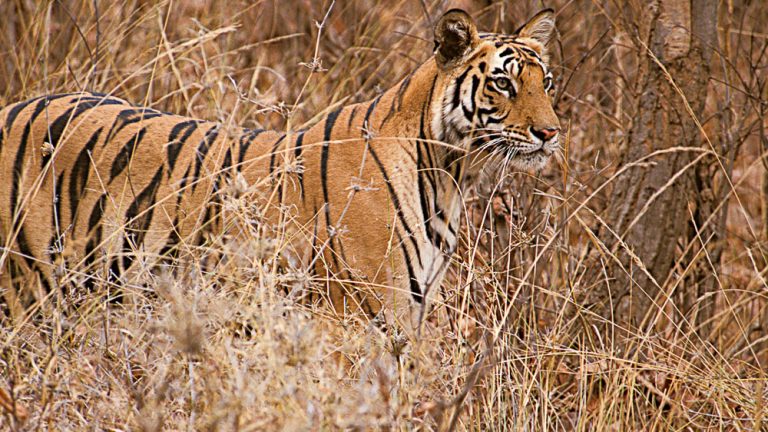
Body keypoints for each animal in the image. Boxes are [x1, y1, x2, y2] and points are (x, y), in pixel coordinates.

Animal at [0, 9, 560, 334]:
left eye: (547, 82)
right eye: (504, 84)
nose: (551, 133)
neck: (450, 175)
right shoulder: (359, 317)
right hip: (27, 292)